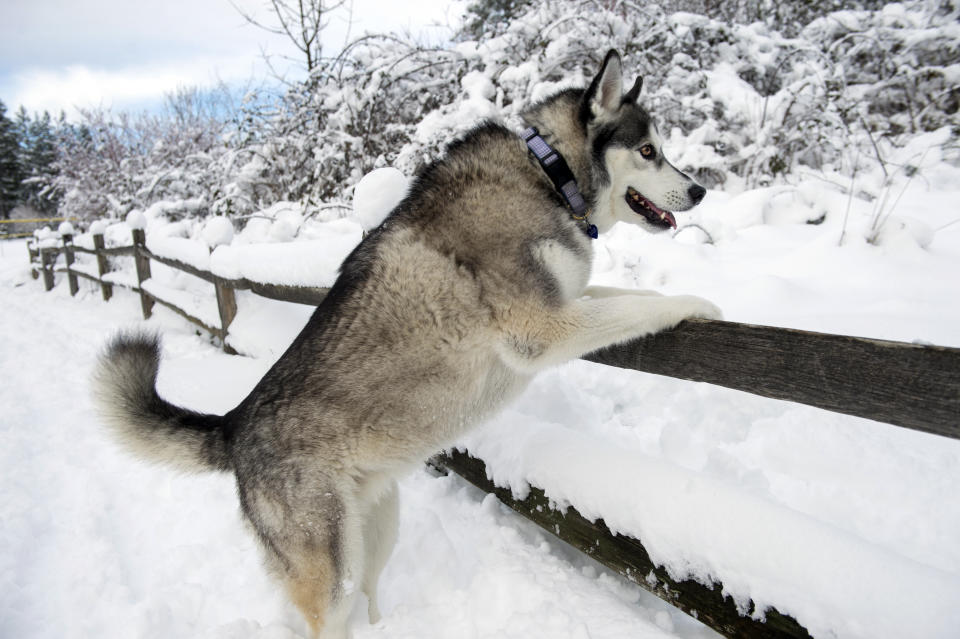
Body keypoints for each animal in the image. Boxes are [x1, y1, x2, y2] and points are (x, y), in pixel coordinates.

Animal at [95, 51, 720, 639]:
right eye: (648, 151)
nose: (699, 190)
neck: (551, 175)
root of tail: (234, 425)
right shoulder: (538, 329)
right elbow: (638, 307)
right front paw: (702, 303)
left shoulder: (568, 298)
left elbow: (625, 295)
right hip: (330, 566)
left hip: (377, 527)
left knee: (369, 597)